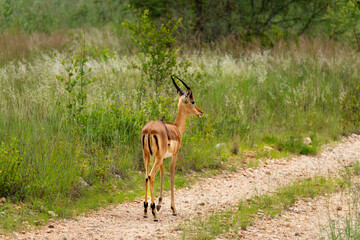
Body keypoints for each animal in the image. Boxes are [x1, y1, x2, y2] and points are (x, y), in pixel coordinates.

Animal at [140, 75, 204, 221]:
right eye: (193, 101)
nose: (201, 112)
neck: (176, 128)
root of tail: (149, 129)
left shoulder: (163, 158)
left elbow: (163, 174)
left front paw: (159, 204)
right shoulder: (174, 156)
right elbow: (172, 177)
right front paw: (173, 209)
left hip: (147, 156)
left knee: (146, 177)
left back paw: (146, 210)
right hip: (156, 158)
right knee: (151, 176)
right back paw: (154, 213)